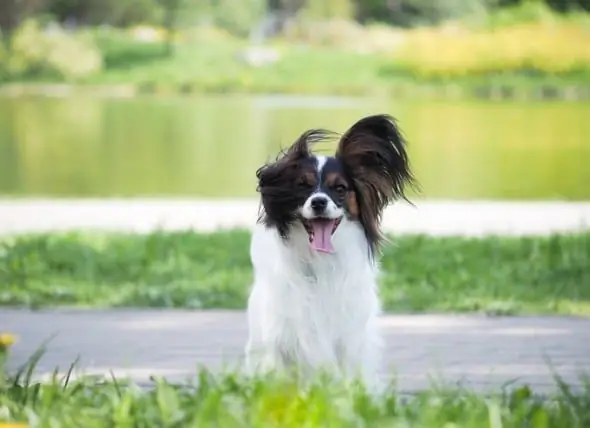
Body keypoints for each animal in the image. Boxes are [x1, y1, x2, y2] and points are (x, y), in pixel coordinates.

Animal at [245, 114, 416, 392]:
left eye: (340, 189)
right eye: (302, 187)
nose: (318, 202)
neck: (320, 262)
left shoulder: (348, 335)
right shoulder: (286, 332)